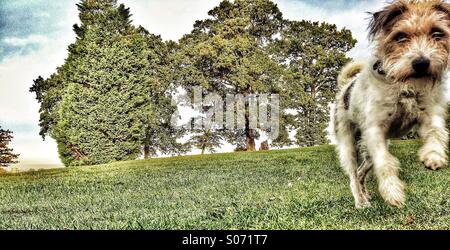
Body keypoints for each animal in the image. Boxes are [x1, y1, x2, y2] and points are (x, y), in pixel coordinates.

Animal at [332, 0, 448, 208]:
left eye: (437, 33)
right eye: (400, 36)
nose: (421, 63)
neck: (404, 86)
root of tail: (346, 87)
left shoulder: (429, 115)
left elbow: (436, 131)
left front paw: (433, 155)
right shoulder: (375, 130)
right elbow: (385, 162)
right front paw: (392, 192)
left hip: (366, 150)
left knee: (361, 173)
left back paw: (366, 196)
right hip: (349, 145)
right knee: (353, 175)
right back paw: (360, 201)